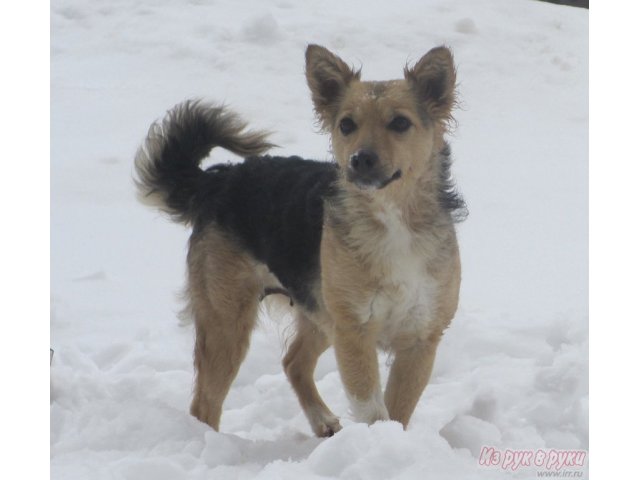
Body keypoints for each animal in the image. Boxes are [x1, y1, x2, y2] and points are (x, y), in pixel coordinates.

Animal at [135, 45, 464, 438]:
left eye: (400, 123)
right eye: (347, 125)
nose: (360, 160)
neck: (392, 219)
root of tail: (219, 180)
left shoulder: (421, 338)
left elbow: (398, 411)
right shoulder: (354, 332)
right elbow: (373, 409)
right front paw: (378, 441)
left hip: (315, 309)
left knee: (292, 361)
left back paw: (322, 421)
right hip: (227, 320)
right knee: (205, 404)